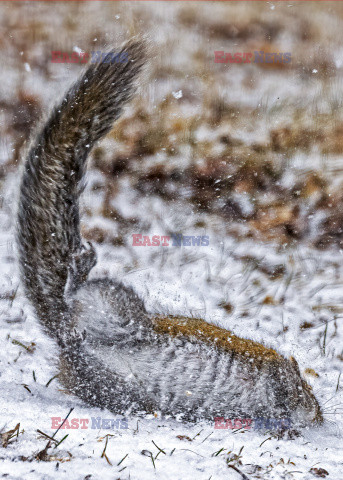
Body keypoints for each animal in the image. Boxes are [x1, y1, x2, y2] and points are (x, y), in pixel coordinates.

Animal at [15, 39, 322, 426]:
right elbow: (279, 387)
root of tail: (66, 339)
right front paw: (287, 417)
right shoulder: (272, 370)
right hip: (116, 311)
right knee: (76, 300)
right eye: (308, 390)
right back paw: (79, 270)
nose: (320, 416)